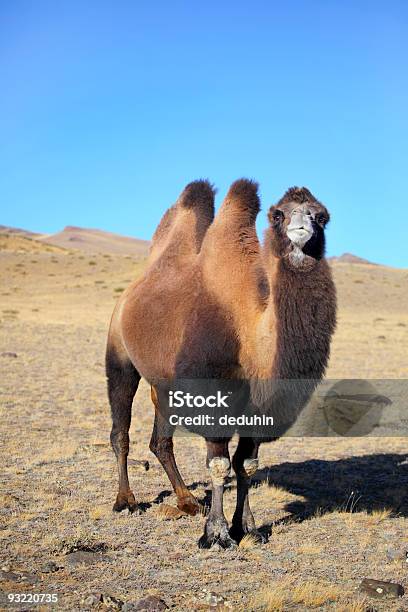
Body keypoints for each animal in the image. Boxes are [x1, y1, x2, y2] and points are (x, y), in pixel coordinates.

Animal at [106, 179, 338, 548]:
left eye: (322, 216)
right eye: (278, 214)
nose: (303, 228)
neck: (251, 337)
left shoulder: (259, 410)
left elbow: (248, 465)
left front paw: (249, 528)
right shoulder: (212, 395)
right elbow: (219, 464)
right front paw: (216, 534)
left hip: (166, 385)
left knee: (161, 441)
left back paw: (187, 500)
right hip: (119, 353)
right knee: (121, 430)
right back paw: (125, 501)